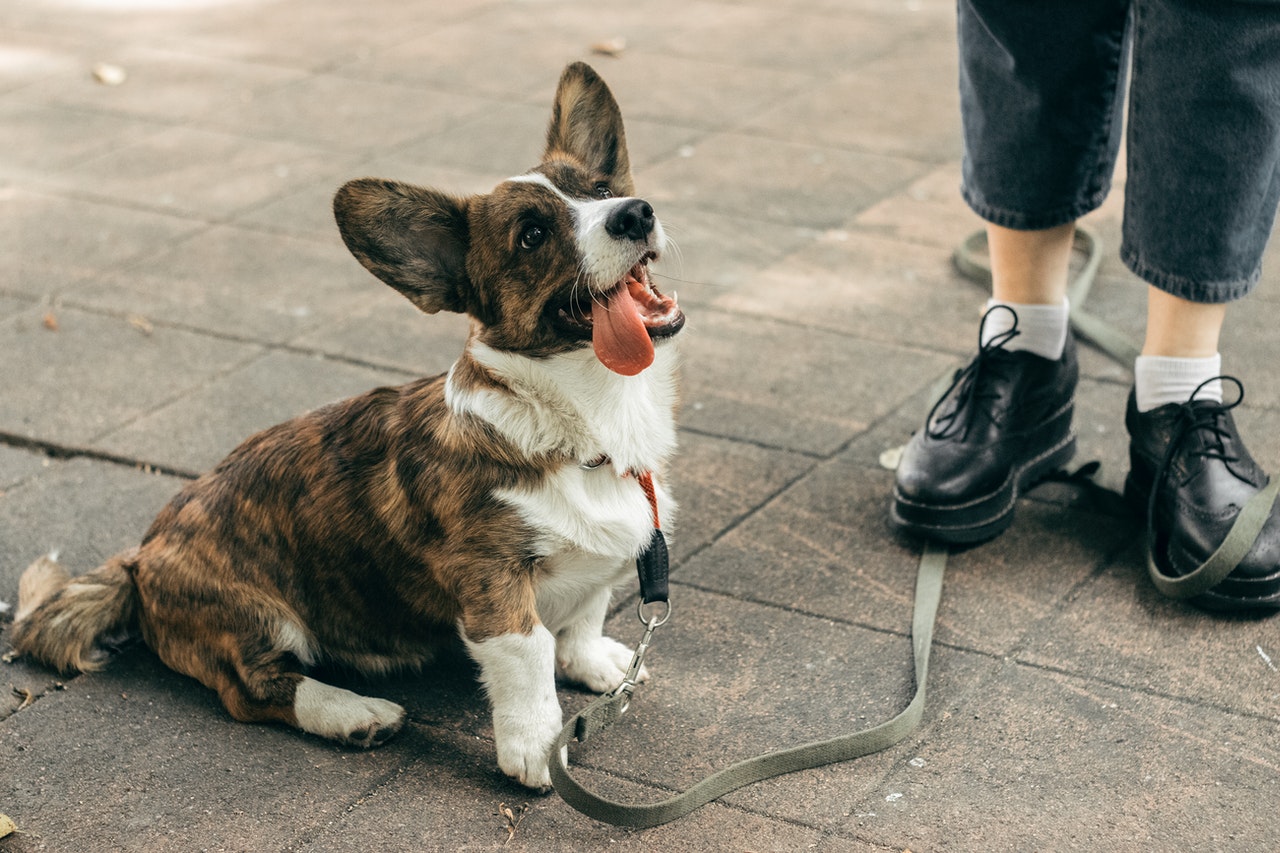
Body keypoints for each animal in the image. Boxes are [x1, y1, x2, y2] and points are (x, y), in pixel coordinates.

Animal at [12, 61, 691, 788]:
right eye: (532, 235)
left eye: (601, 190)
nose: (635, 212)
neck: (588, 422)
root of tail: (139, 559)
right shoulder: (494, 583)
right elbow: (530, 654)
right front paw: (537, 748)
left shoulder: (601, 563)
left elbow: (585, 613)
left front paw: (596, 665)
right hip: (259, 615)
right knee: (251, 688)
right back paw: (353, 713)